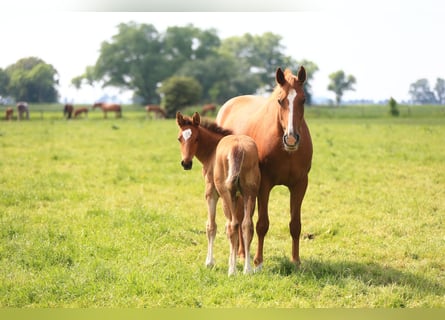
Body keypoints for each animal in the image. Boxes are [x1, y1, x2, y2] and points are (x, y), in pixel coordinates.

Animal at [176, 111, 260, 274]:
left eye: (196, 138)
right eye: (180, 138)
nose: (186, 163)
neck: (212, 151)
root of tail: (237, 148)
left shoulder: (211, 192)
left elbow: (211, 226)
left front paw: (209, 262)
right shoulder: (239, 196)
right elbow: (236, 225)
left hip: (225, 193)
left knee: (233, 225)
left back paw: (232, 271)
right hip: (250, 192)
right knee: (246, 225)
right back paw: (247, 269)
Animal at [216, 67, 312, 270]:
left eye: (303, 99)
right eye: (280, 100)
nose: (291, 138)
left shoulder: (300, 184)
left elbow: (295, 224)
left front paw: (296, 261)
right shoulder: (264, 185)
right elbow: (262, 224)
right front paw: (258, 261)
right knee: (242, 217)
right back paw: (242, 254)